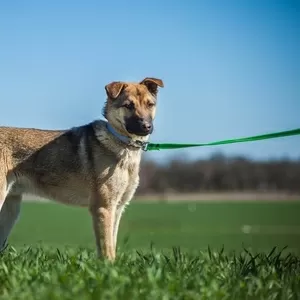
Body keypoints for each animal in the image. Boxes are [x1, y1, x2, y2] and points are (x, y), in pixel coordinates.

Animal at [0, 77, 164, 260]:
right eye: (128, 105)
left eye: (150, 104)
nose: (146, 126)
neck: (122, 143)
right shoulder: (104, 208)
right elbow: (107, 250)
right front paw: (108, 266)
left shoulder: (117, 208)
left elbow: (112, 245)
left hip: (10, 208)